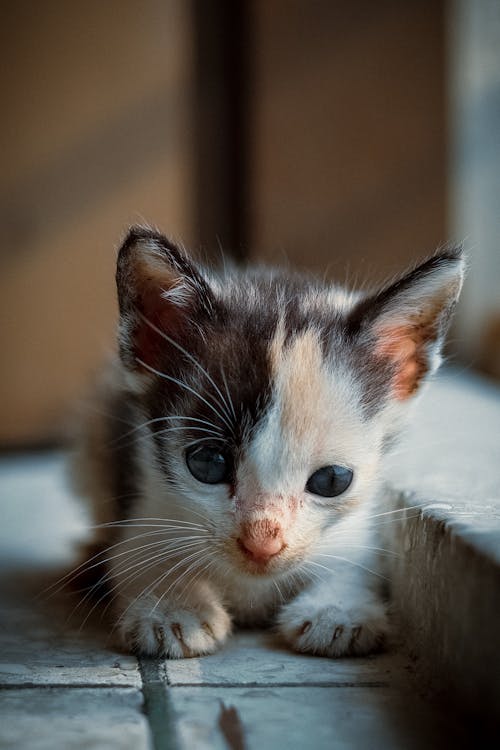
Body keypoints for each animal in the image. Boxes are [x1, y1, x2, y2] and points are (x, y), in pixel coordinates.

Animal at [73, 226, 464, 660]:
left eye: (332, 480)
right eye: (208, 463)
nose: (261, 544)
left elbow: (355, 559)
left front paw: (336, 609)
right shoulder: (146, 500)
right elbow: (137, 555)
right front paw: (172, 608)